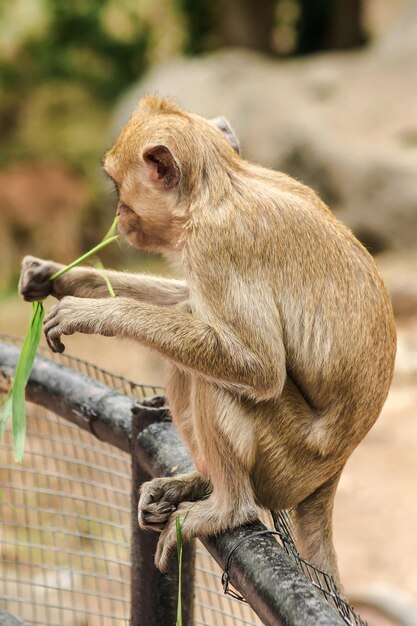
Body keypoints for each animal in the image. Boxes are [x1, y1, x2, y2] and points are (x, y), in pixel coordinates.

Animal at [19, 95, 394, 584]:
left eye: (119, 187)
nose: (119, 217)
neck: (220, 187)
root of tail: (331, 474)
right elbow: (186, 300)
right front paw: (59, 275)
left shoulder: (217, 247)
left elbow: (259, 367)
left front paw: (95, 313)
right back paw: (197, 483)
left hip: (288, 461)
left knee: (217, 379)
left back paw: (227, 508)